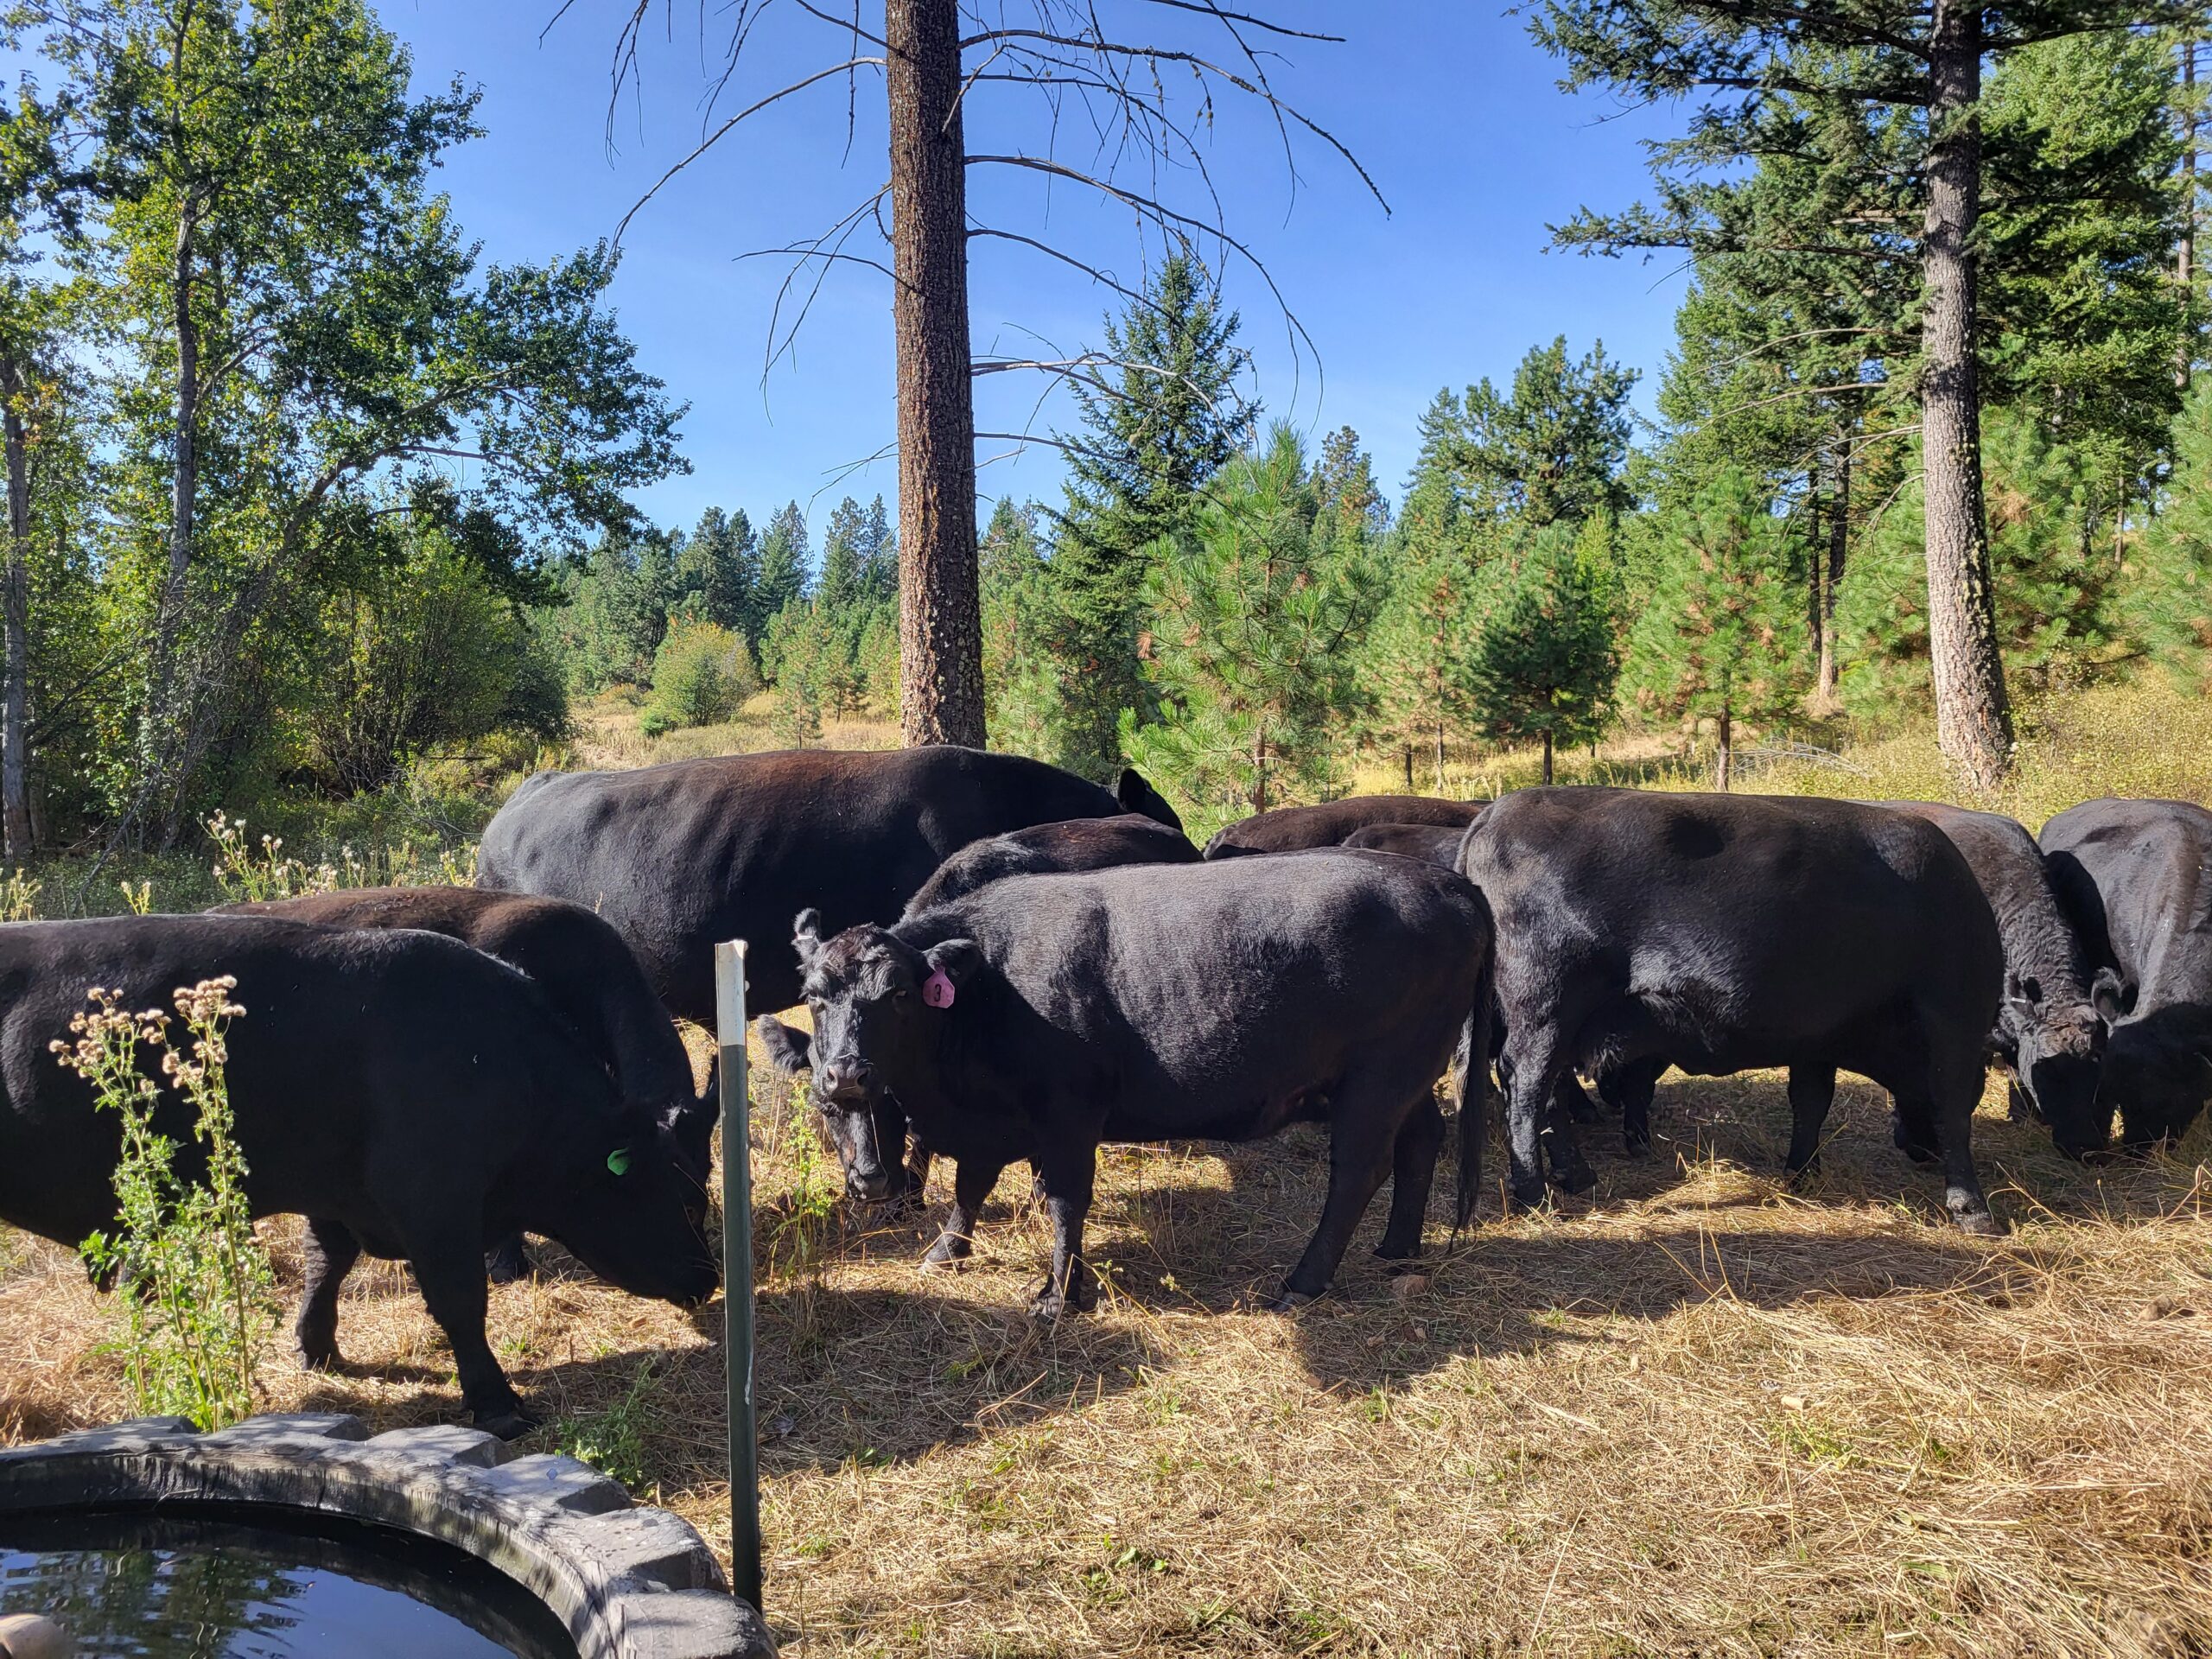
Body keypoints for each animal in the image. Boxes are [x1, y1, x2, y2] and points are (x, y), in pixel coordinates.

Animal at [788, 852, 1493, 1314]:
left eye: (900, 994)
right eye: (814, 994)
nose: (846, 1072)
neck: (992, 984)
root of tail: (1450, 881)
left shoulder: (1069, 1114)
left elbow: (1065, 1201)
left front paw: (1057, 1296)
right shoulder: (992, 1122)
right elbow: (970, 1184)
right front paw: (947, 1250)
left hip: (1379, 1077)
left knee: (1358, 1171)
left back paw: (1303, 1281)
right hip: (1408, 1078)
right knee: (1421, 1141)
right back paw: (1398, 1248)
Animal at [1462, 788, 2004, 1232]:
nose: (1919, 1150)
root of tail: (1494, 812)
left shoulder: (1816, 1037)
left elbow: (1811, 1102)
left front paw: (1802, 1172)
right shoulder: (1953, 1019)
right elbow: (1952, 1108)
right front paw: (1972, 1208)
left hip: (1559, 1020)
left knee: (1546, 1090)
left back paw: (1575, 1175)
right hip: (1546, 1007)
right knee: (1527, 1087)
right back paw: (1533, 1192)